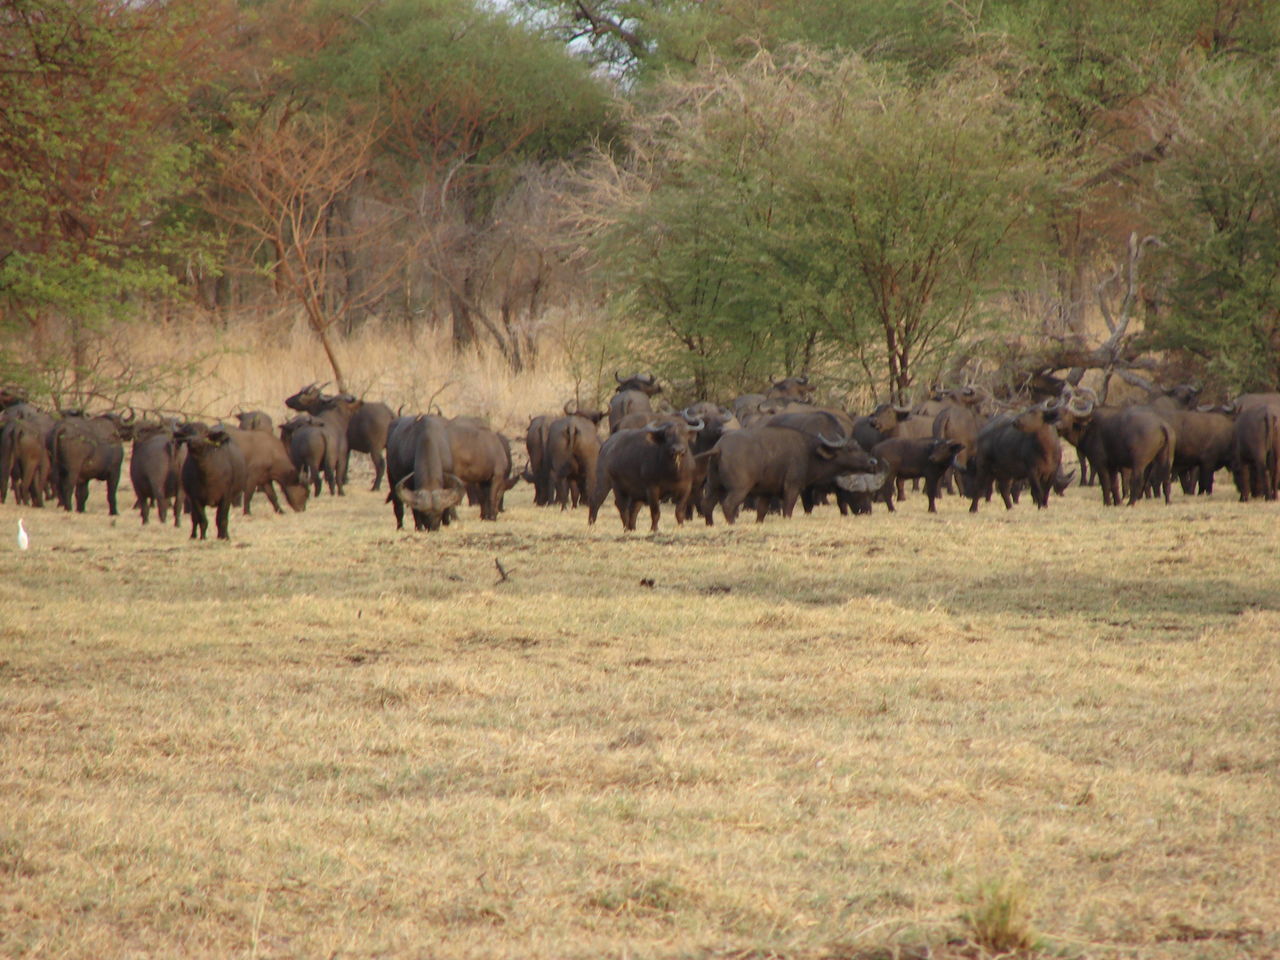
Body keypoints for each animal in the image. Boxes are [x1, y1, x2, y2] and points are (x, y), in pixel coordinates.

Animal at [701, 427, 880, 527]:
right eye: (851, 448)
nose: (873, 461)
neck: (809, 453)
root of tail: (720, 447)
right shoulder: (793, 488)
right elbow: (788, 509)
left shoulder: (766, 493)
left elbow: (761, 512)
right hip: (739, 489)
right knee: (728, 505)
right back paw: (731, 523)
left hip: (714, 486)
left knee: (708, 505)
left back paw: (710, 524)